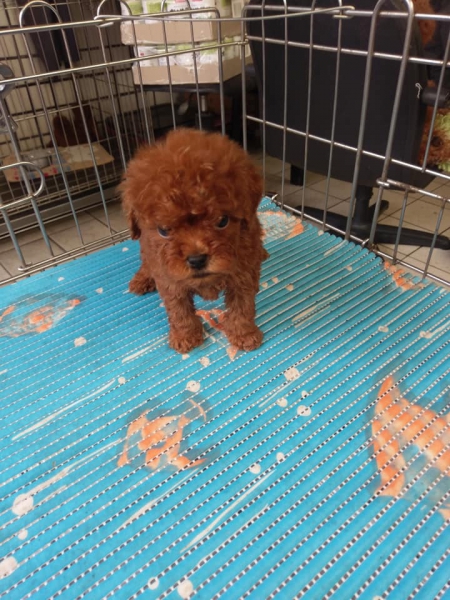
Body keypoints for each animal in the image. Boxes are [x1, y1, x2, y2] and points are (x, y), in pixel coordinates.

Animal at [120, 128, 268, 354]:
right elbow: (179, 310)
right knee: (146, 262)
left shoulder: (244, 271)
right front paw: (185, 336)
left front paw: (244, 334)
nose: (197, 260)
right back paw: (142, 279)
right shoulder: (169, 279)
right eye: (163, 230)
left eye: (222, 221)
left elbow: (242, 306)